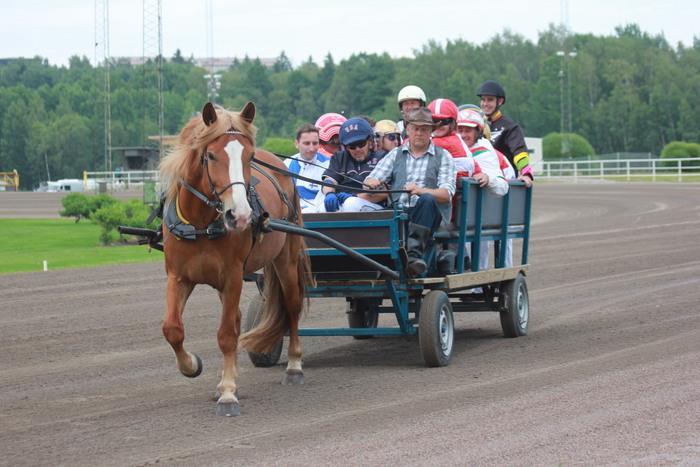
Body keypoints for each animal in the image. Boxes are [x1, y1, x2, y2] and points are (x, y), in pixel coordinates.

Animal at [163, 102, 310, 416]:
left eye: (249, 156)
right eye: (210, 155)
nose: (240, 215)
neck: (202, 224)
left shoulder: (232, 277)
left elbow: (227, 334)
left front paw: (229, 393)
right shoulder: (178, 276)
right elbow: (172, 329)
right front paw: (192, 366)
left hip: (286, 259)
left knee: (291, 307)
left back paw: (294, 366)